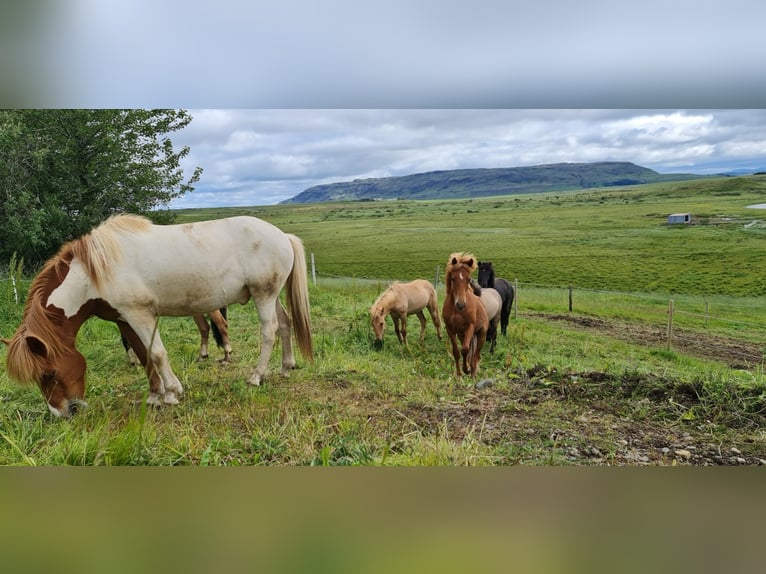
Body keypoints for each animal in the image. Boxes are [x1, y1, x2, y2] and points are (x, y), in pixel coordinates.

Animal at [1, 214, 312, 416]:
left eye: (49, 373)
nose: (64, 412)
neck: (94, 273)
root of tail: (282, 236)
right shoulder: (124, 318)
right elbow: (142, 354)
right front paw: (154, 396)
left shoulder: (141, 315)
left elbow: (158, 354)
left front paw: (172, 393)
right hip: (271, 296)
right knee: (286, 324)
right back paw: (285, 367)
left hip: (264, 296)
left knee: (270, 331)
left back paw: (256, 377)